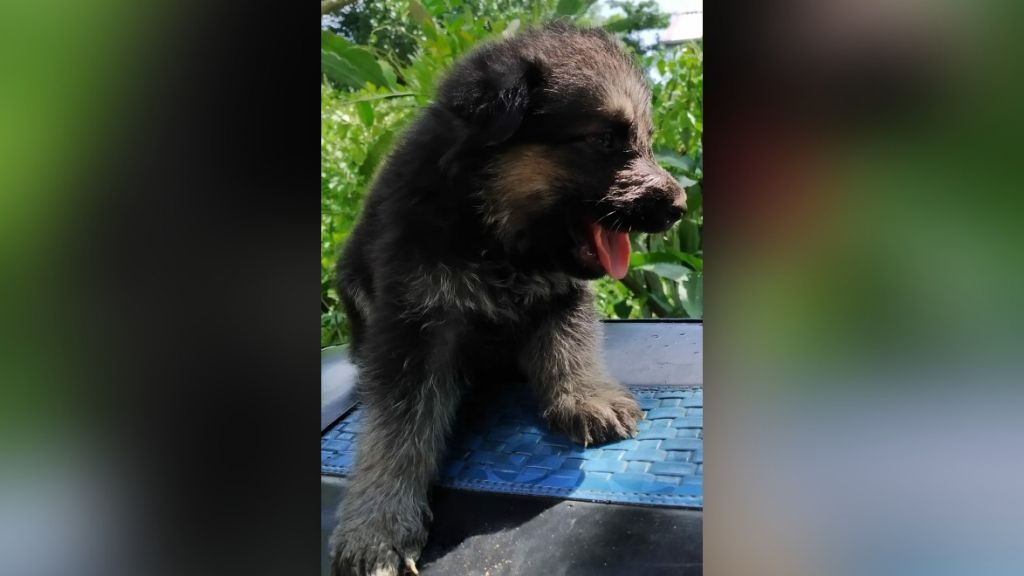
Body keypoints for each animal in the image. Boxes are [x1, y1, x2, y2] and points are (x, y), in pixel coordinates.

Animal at [331, 22, 684, 573]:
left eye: (646, 142)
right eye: (604, 140)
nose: (681, 206)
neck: (494, 236)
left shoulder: (564, 293)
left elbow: (570, 347)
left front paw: (586, 397)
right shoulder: (412, 321)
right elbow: (394, 428)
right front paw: (377, 526)